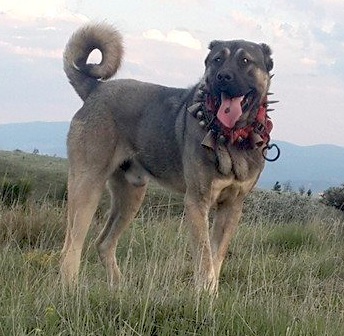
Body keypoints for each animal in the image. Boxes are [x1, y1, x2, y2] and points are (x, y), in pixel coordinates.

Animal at [59, 22, 274, 292]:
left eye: (245, 60)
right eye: (217, 60)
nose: (223, 77)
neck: (233, 136)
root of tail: (95, 89)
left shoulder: (232, 206)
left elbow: (216, 257)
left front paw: (212, 294)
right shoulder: (197, 202)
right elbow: (205, 258)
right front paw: (204, 295)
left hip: (131, 195)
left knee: (104, 243)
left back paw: (119, 288)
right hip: (87, 186)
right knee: (71, 246)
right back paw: (71, 290)